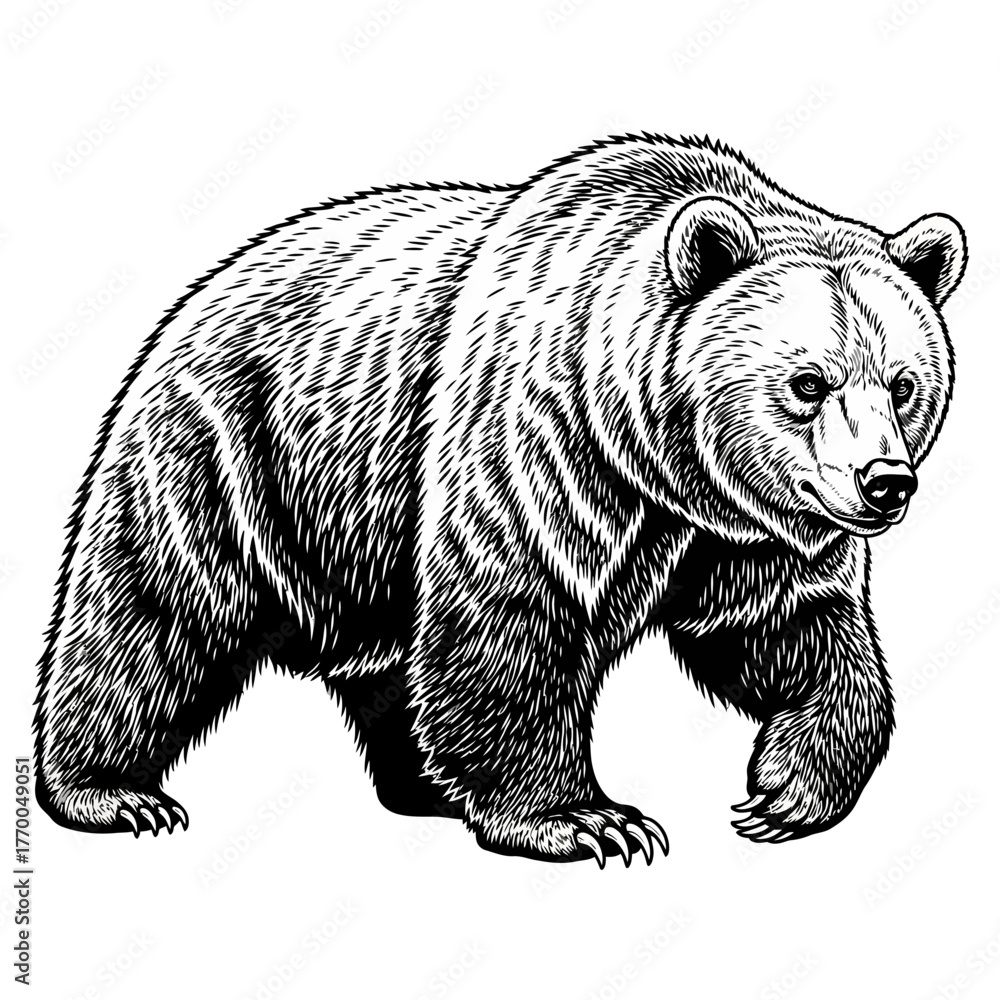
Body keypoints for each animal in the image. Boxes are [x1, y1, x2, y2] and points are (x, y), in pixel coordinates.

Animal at [34, 134, 966, 866]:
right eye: (808, 382)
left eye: (904, 384)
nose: (885, 482)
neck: (659, 460)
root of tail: (202, 290)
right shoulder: (536, 439)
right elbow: (513, 614)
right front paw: (587, 820)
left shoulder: (739, 535)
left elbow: (789, 627)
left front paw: (785, 792)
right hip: (228, 454)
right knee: (154, 616)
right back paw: (111, 793)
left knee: (386, 661)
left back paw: (420, 782)